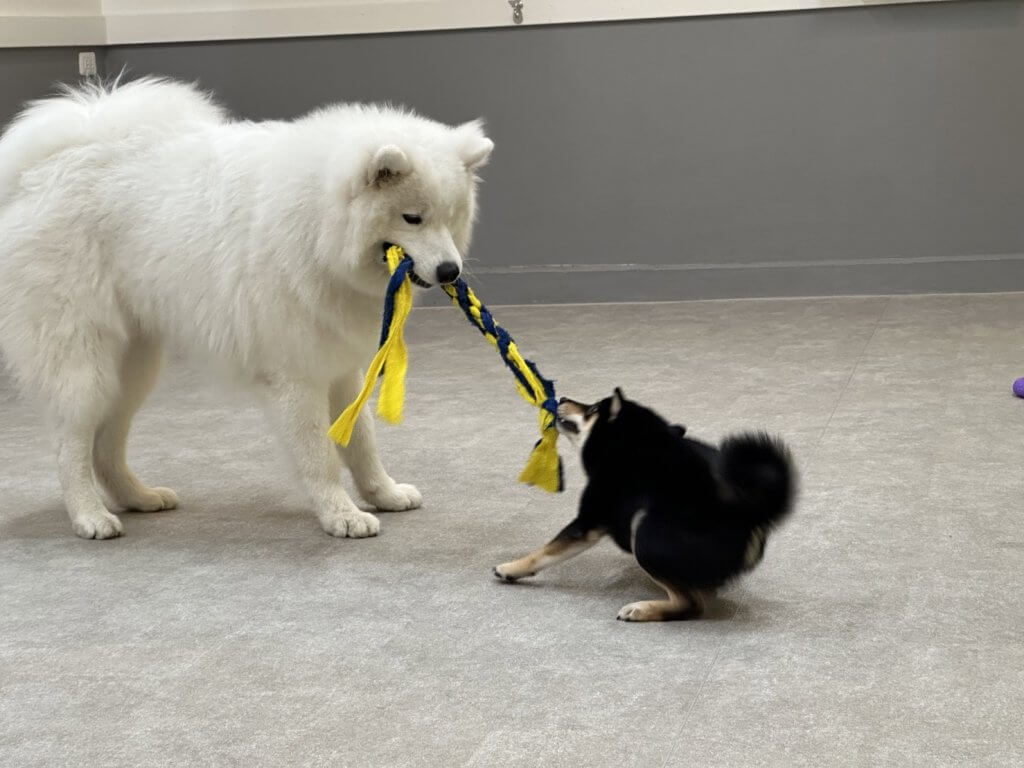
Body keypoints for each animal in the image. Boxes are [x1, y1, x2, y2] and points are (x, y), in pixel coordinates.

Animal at [0, 79, 491, 540]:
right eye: (412, 218)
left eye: (450, 218)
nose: (450, 271)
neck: (316, 225)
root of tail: (38, 174)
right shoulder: (294, 376)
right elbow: (320, 456)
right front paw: (342, 515)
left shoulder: (338, 366)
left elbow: (362, 441)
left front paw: (383, 493)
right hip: (84, 362)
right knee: (71, 446)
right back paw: (89, 516)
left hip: (132, 367)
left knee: (106, 446)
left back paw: (138, 497)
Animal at [491, 387, 794, 622]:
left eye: (593, 409)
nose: (562, 397)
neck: (627, 443)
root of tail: (751, 513)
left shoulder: (590, 519)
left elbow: (543, 552)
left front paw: (511, 568)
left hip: (646, 533)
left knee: (690, 604)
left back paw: (642, 609)